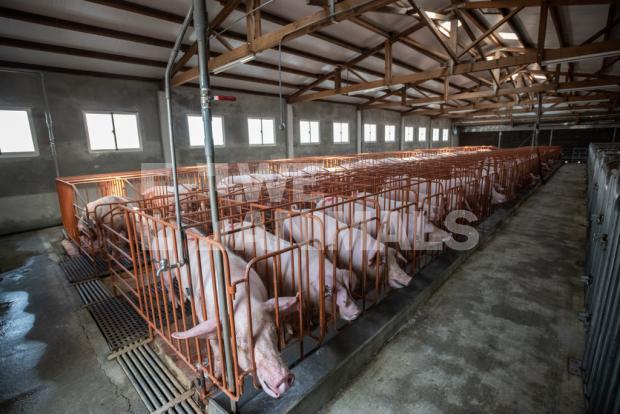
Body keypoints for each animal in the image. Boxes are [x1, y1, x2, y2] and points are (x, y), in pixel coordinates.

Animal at [149, 225, 297, 399]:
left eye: (273, 331)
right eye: (241, 343)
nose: (285, 378)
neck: (242, 301)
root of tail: (160, 230)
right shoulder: (204, 315)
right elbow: (214, 344)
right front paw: (220, 377)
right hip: (163, 266)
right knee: (167, 284)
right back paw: (178, 303)